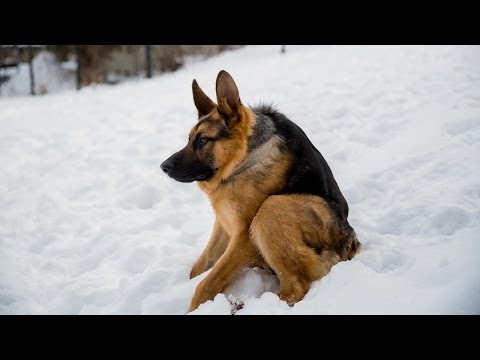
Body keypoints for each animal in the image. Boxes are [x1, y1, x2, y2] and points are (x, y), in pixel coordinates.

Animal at [161, 70, 360, 312]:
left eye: (202, 140)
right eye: (189, 140)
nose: (163, 167)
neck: (243, 158)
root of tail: (350, 244)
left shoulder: (244, 236)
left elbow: (206, 283)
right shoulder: (223, 224)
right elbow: (198, 269)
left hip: (271, 209)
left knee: (295, 287)